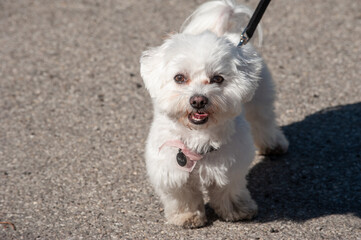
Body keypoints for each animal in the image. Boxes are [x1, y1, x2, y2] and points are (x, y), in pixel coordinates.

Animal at [139, 0, 288, 228]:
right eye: (179, 77)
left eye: (218, 78)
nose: (198, 100)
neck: (198, 135)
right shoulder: (170, 170)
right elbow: (182, 195)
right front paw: (187, 216)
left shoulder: (231, 166)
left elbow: (229, 189)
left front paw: (237, 210)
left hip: (260, 98)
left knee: (264, 120)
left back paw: (273, 143)